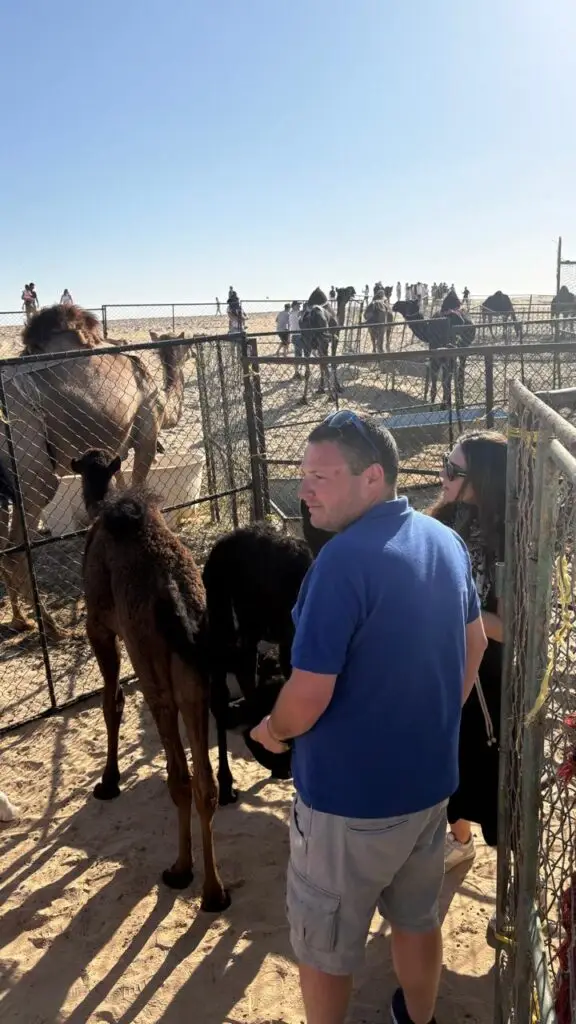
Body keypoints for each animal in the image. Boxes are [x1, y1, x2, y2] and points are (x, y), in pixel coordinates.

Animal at [0, 305, 192, 641]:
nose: (189, 352)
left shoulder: (115, 449)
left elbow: (120, 487)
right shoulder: (146, 434)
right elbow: (139, 484)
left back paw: (20, 620)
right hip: (31, 468)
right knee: (15, 552)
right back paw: (53, 628)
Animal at [70, 448, 229, 909]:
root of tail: (178, 608)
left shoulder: (99, 625)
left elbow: (112, 702)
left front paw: (108, 782)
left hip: (157, 679)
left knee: (180, 777)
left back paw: (180, 870)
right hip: (196, 682)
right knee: (205, 782)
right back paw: (214, 891)